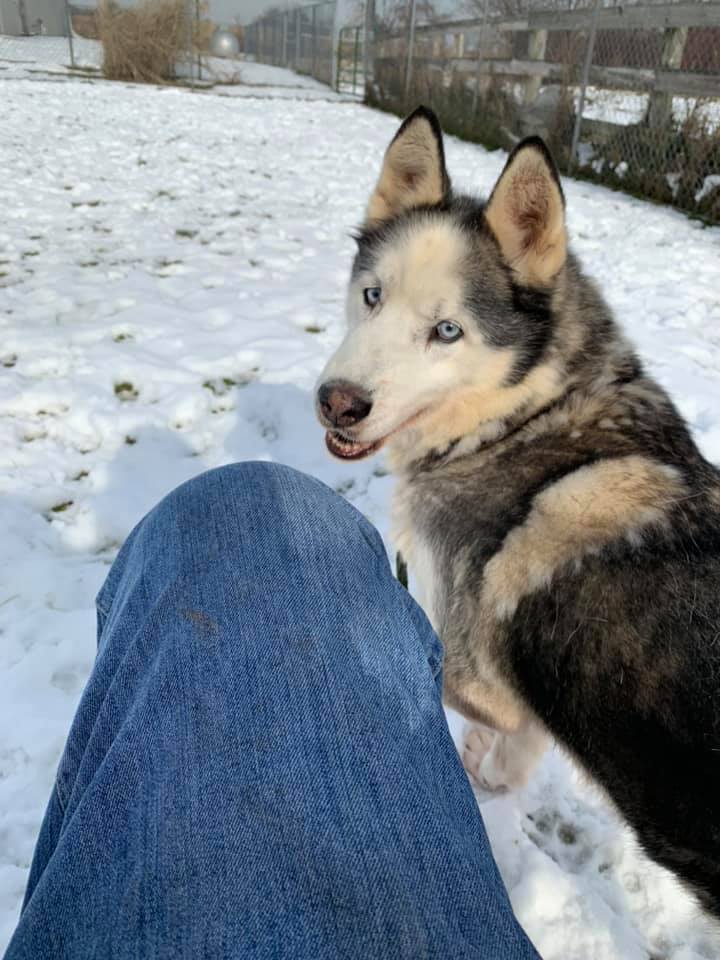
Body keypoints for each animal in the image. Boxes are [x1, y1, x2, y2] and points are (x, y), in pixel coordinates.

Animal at [318, 105, 720, 916]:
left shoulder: (476, 670)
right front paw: (495, 772)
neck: (522, 415)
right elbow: (520, 748)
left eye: (447, 331)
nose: (337, 402)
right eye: (372, 296)